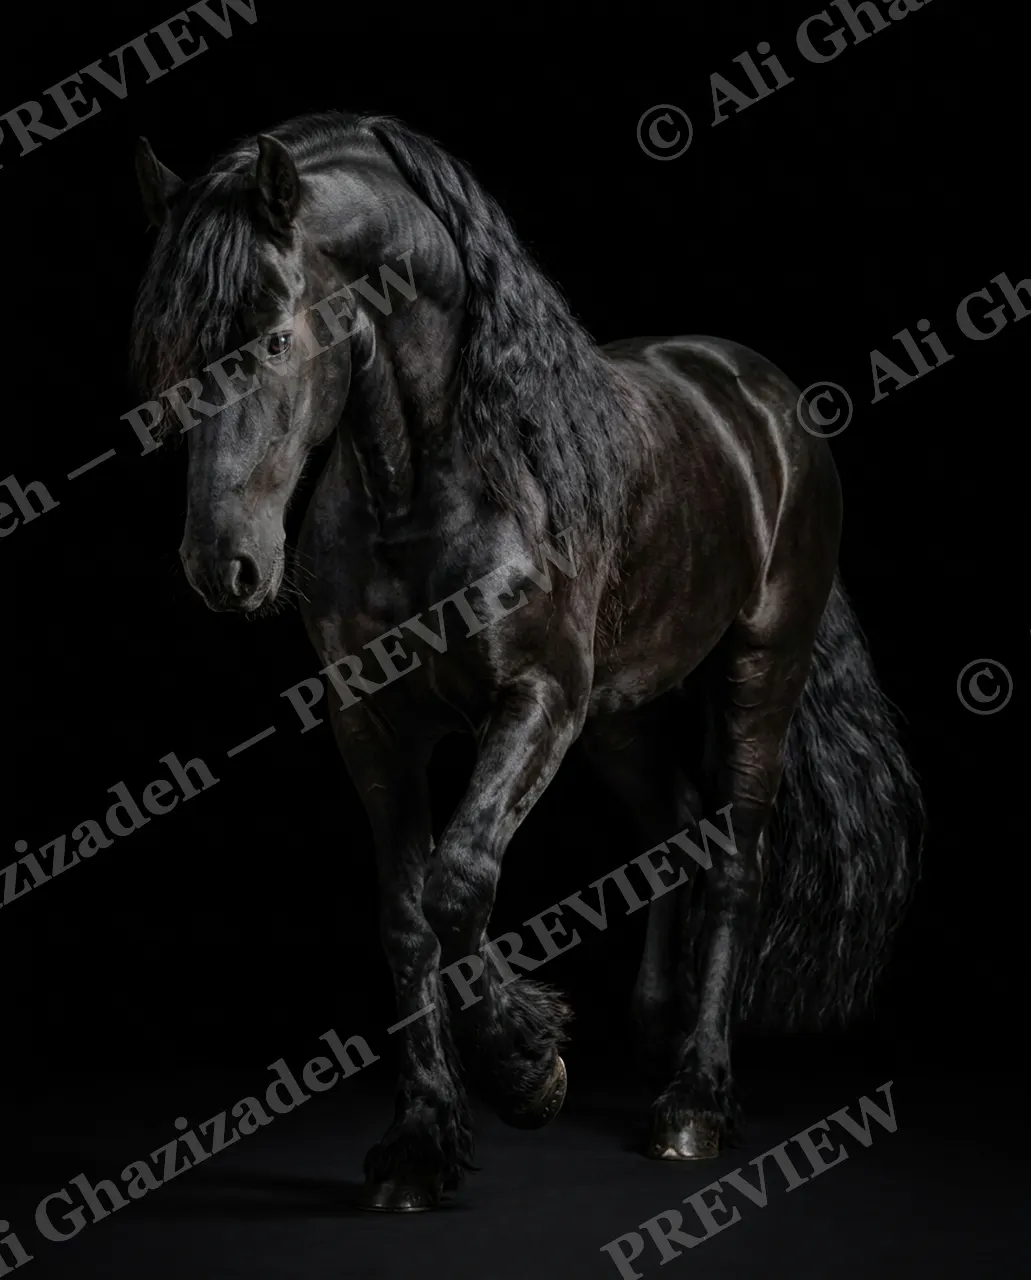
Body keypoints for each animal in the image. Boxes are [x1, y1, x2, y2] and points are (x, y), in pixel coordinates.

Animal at [131, 111, 922, 1212]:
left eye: (274, 337)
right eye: (168, 357)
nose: (224, 564)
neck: (441, 483)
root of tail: (761, 397)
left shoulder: (537, 697)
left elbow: (458, 882)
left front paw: (527, 1066)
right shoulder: (373, 726)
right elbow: (405, 917)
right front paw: (419, 1145)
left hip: (759, 668)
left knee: (735, 858)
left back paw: (693, 1099)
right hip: (622, 715)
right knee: (672, 829)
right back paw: (655, 1035)